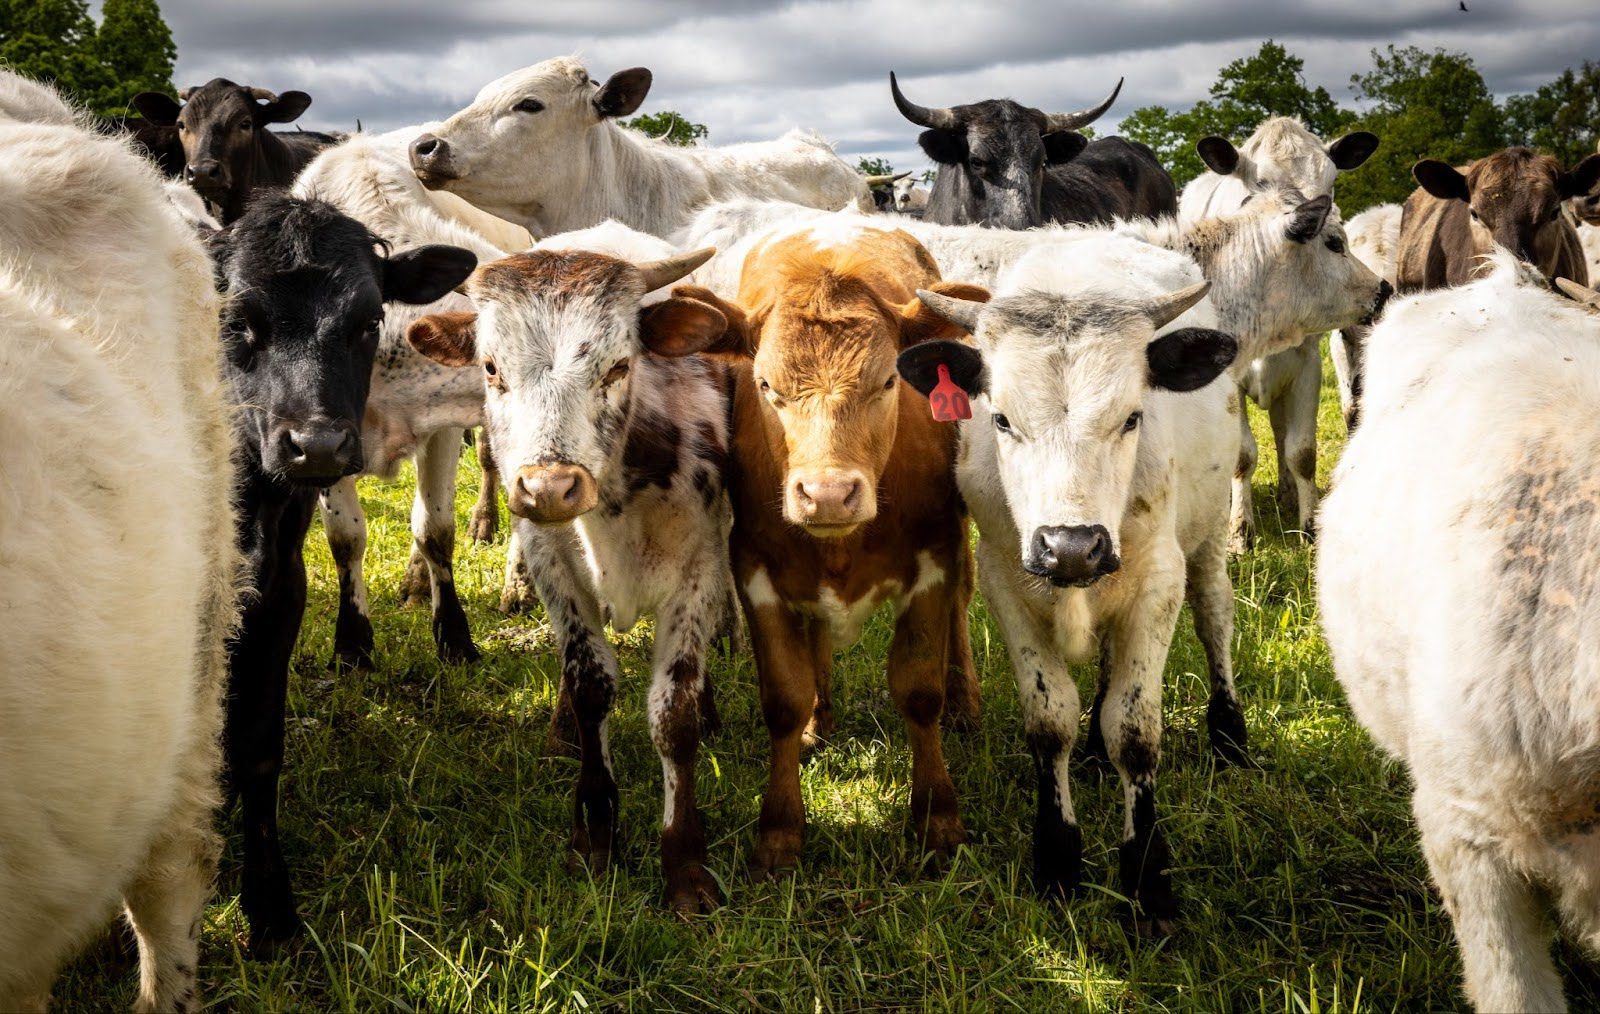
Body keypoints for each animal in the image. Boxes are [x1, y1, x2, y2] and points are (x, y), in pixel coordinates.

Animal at [209, 192, 476, 949]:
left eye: (368, 320)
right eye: (238, 320)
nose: (319, 445)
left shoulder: (278, 588)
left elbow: (258, 740)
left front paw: (269, 904)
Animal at [405, 224, 735, 911]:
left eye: (619, 365)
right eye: (491, 367)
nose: (549, 488)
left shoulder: (700, 566)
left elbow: (674, 712)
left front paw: (685, 861)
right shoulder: (550, 562)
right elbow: (590, 686)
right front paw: (595, 828)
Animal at [673, 220, 987, 879]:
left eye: (889, 380)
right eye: (765, 385)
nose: (828, 494)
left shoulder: (934, 558)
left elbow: (919, 690)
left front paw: (937, 818)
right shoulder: (756, 569)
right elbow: (783, 699)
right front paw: (780, 830)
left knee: (963, 610)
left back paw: (965, 700)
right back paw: (821, 720)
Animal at [898, 235, 1239, 935]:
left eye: (1132, 417)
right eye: (1001, 420)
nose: (1072, 545)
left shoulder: (1158, 581)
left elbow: (1135, 731)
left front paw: (1147, 881)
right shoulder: (1006, 582)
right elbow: (1051, 718)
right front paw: (1057, 858)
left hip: (1210, 528)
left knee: (1214, 612)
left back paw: (1229, 732)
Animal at [1178, 118, 1380, 547]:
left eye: (1330, 183)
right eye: (1258, 184)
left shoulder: (1307, 364)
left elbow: (1301, 451)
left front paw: (1309, 525)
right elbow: (1242, 455)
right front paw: (1240, 532)